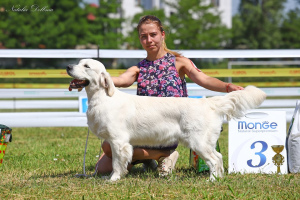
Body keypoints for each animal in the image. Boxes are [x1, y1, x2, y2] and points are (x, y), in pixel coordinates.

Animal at [67, 58, 266, 182]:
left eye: (86, 66)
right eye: (78, 63)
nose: (68, 67)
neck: (102, 97)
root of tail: (208, 102)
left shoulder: (118, 141)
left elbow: (117, 163)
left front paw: (113, 179)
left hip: (199, 142)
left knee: (215, 158)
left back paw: (212, 179)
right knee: (219, 158)